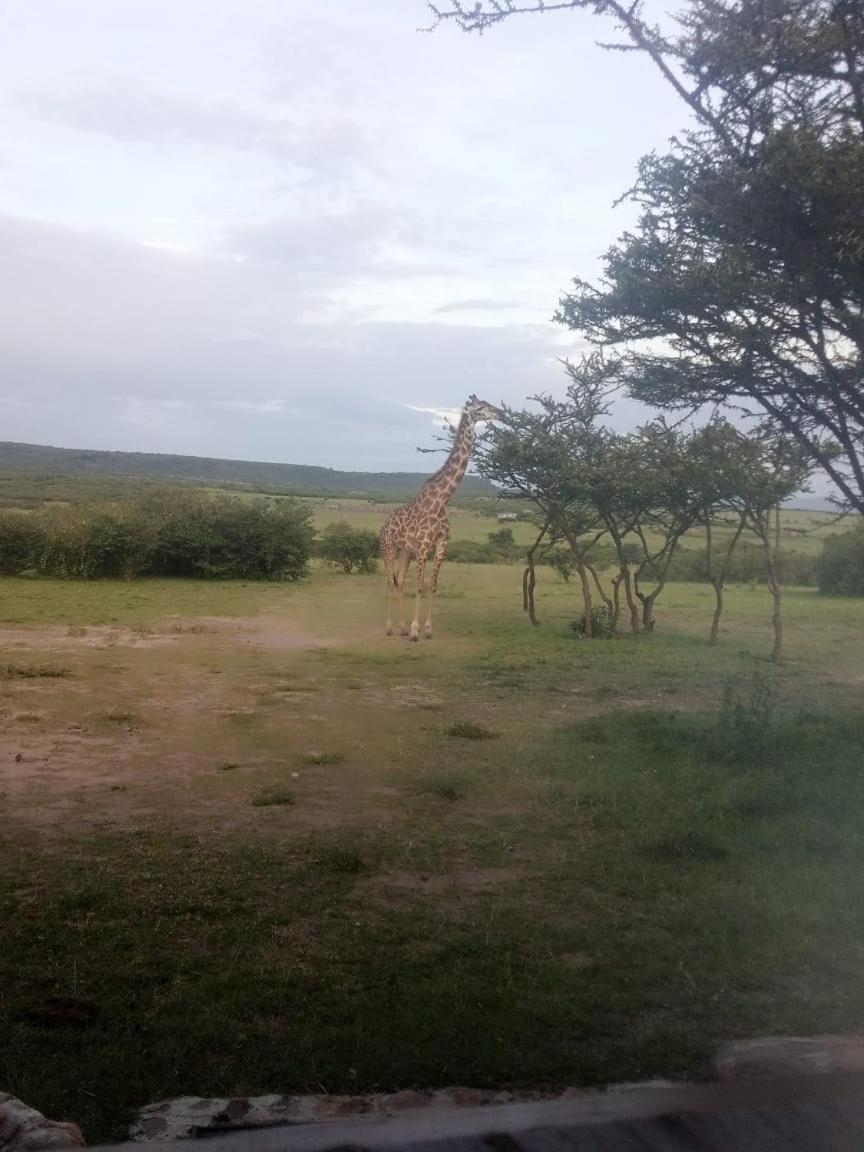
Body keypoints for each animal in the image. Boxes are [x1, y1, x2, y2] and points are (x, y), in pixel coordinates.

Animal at [380, 398, 506, 645]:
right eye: (481, 407)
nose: (502, 413)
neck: (441, 501)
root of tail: (383, 526)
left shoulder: (440, 546)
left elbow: (433, 585)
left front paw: (427, 630)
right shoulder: (422, 547)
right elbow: (419, 586)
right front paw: (415, 631)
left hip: (404, 552)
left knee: (400, 582)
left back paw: (401, 627)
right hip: (389, 549)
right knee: (390, 581)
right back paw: (390, 628)